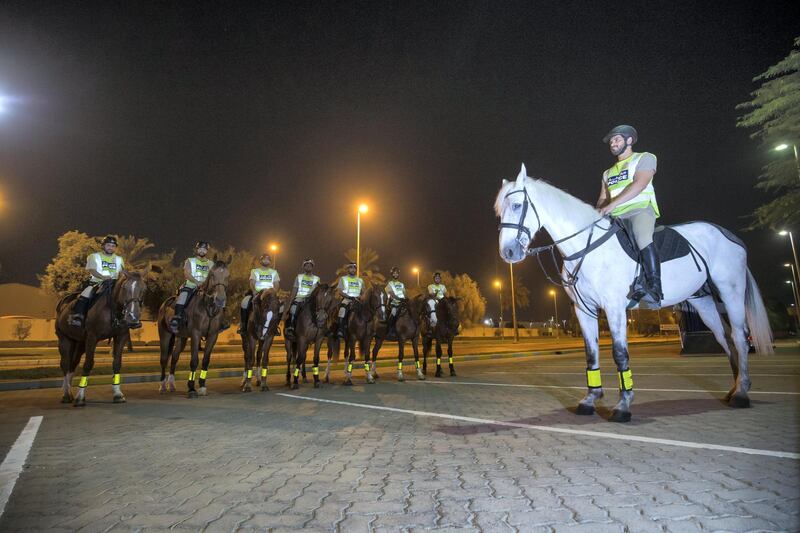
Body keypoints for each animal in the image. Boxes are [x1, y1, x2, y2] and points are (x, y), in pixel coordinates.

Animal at [54, 272, 145, 406]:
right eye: (124, 288)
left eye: (143, 289)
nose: (133, 318)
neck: (112, 309)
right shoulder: (92, 337)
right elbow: (88, 364)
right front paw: (80, 397)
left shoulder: (121, 337)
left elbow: (117, 363)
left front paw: (118, 394)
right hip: (65, 340)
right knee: (65, 364)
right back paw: (66, 394)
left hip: (80, 343)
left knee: (73, 364)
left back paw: (68, 391)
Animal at [157, 256, 230, 396]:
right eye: (212, 274)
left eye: (228, 275)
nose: (220, 300)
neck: (208, 307)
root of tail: (165, 304)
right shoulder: (196, 334)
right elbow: (194, 361)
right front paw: (191, 388)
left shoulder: (213, 336)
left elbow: (206, 360)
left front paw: (202, 386)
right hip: (165, 335)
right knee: (163, 359)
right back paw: (162, 386)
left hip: (182, 337)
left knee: (174, 357)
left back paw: (172, 384)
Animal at [496, 164, 772, 422]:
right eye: (500, 210)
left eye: (517, 205)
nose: (508, 252)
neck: (587, 247)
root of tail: (729, 236)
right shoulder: (584, 310)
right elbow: (591, 353)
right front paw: (590, 400)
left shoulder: (615, 307)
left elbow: (620, 353)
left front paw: (623, 405)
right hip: (703, 302)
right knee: (725, 339)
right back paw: (735, 388)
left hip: (730, 291)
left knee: (739, 337)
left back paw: (741, 394)